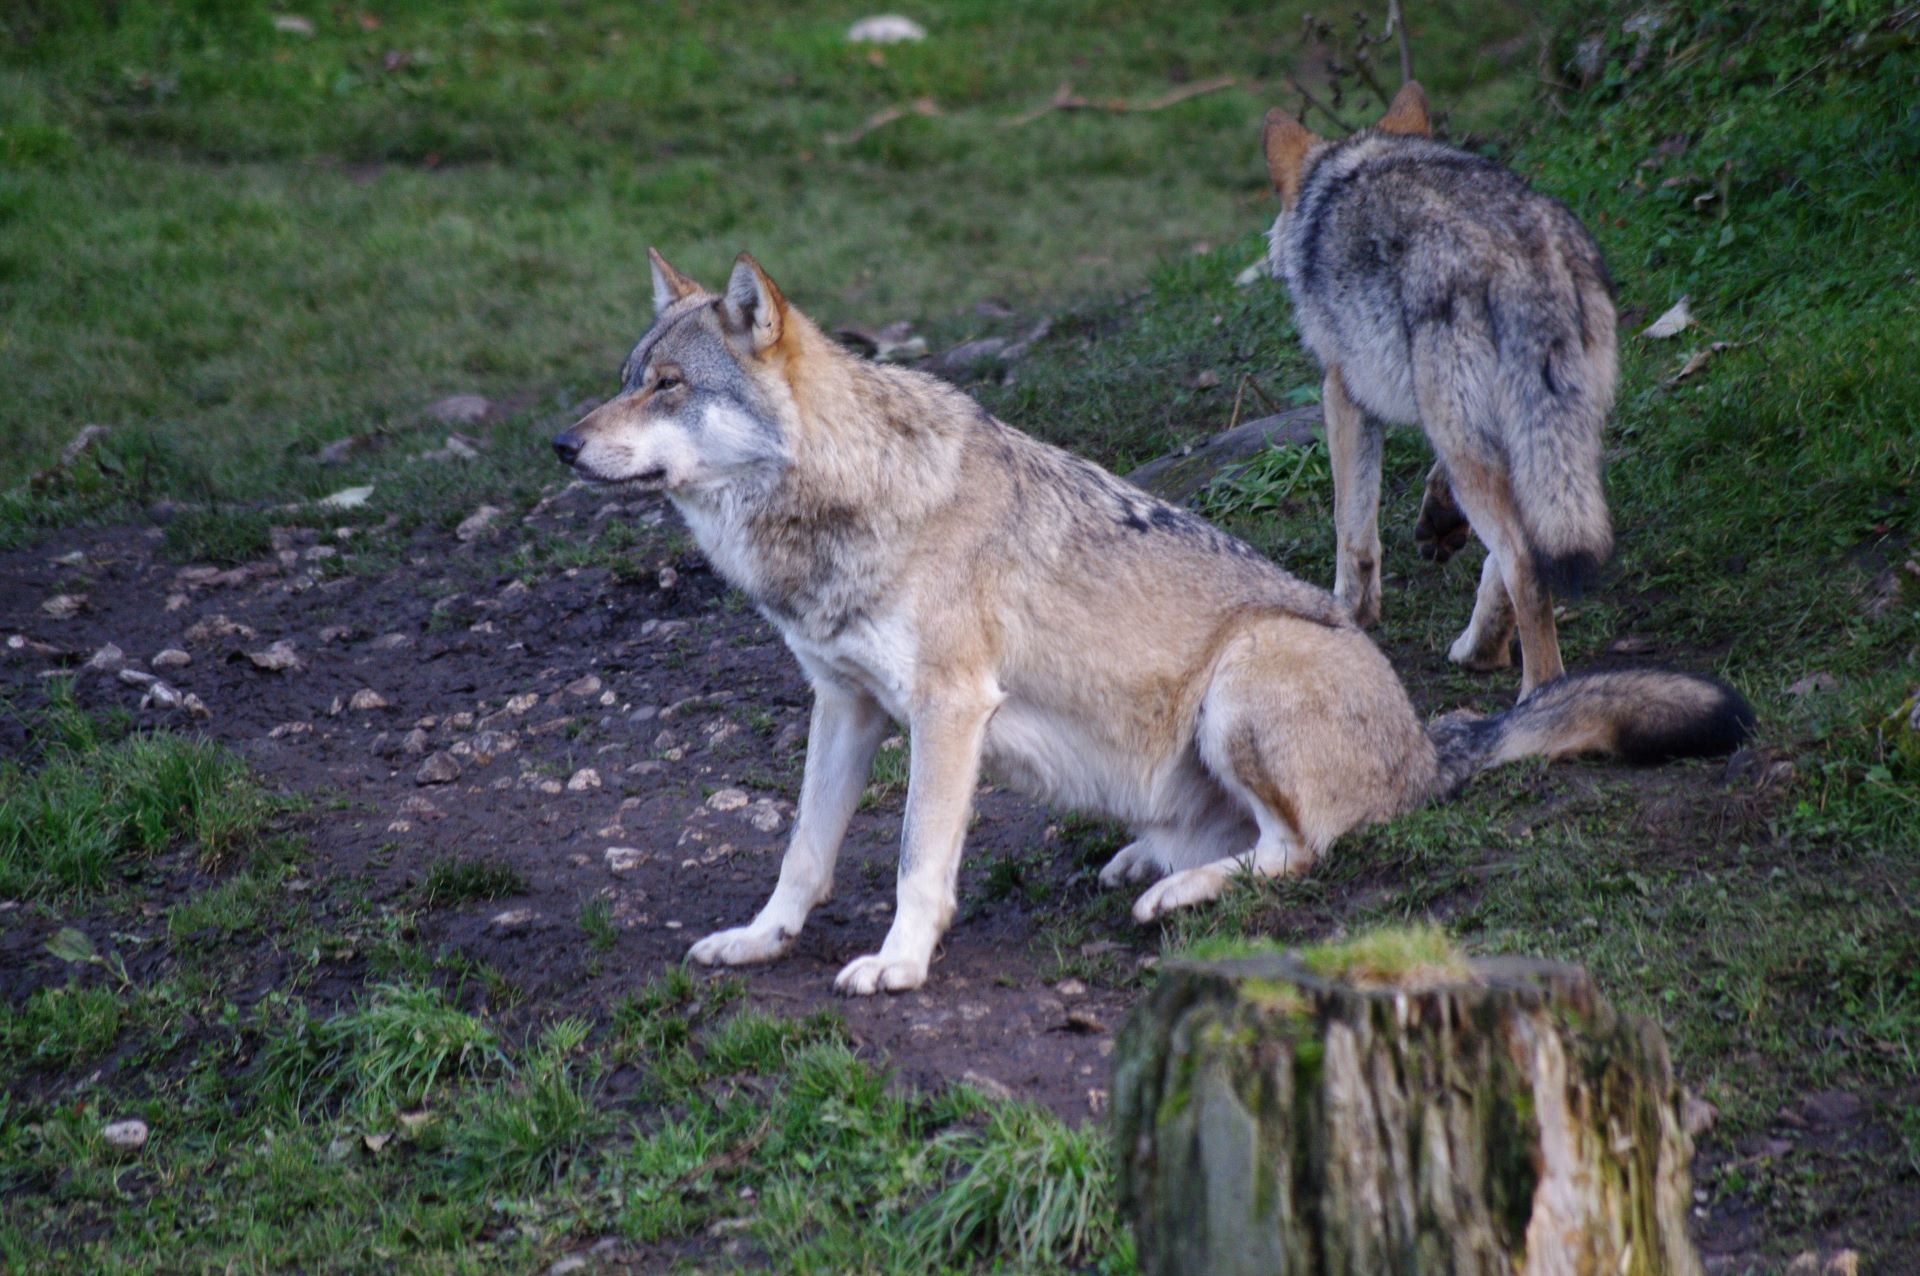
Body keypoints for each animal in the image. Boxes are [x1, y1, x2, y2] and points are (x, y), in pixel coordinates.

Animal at [549, 251, 1751, 997]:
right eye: (626, 380)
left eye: (667, 384)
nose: (562, 442)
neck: (846, 501)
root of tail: (1429, 743)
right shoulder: (844, 706)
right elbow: (802, 852)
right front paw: (761, 940)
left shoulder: (948, 710)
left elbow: (914, 861)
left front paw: (899, 964)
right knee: (1247, 841)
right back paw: (1145, 861)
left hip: (1242, 678)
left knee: (1297, 852)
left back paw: (1173, 891)